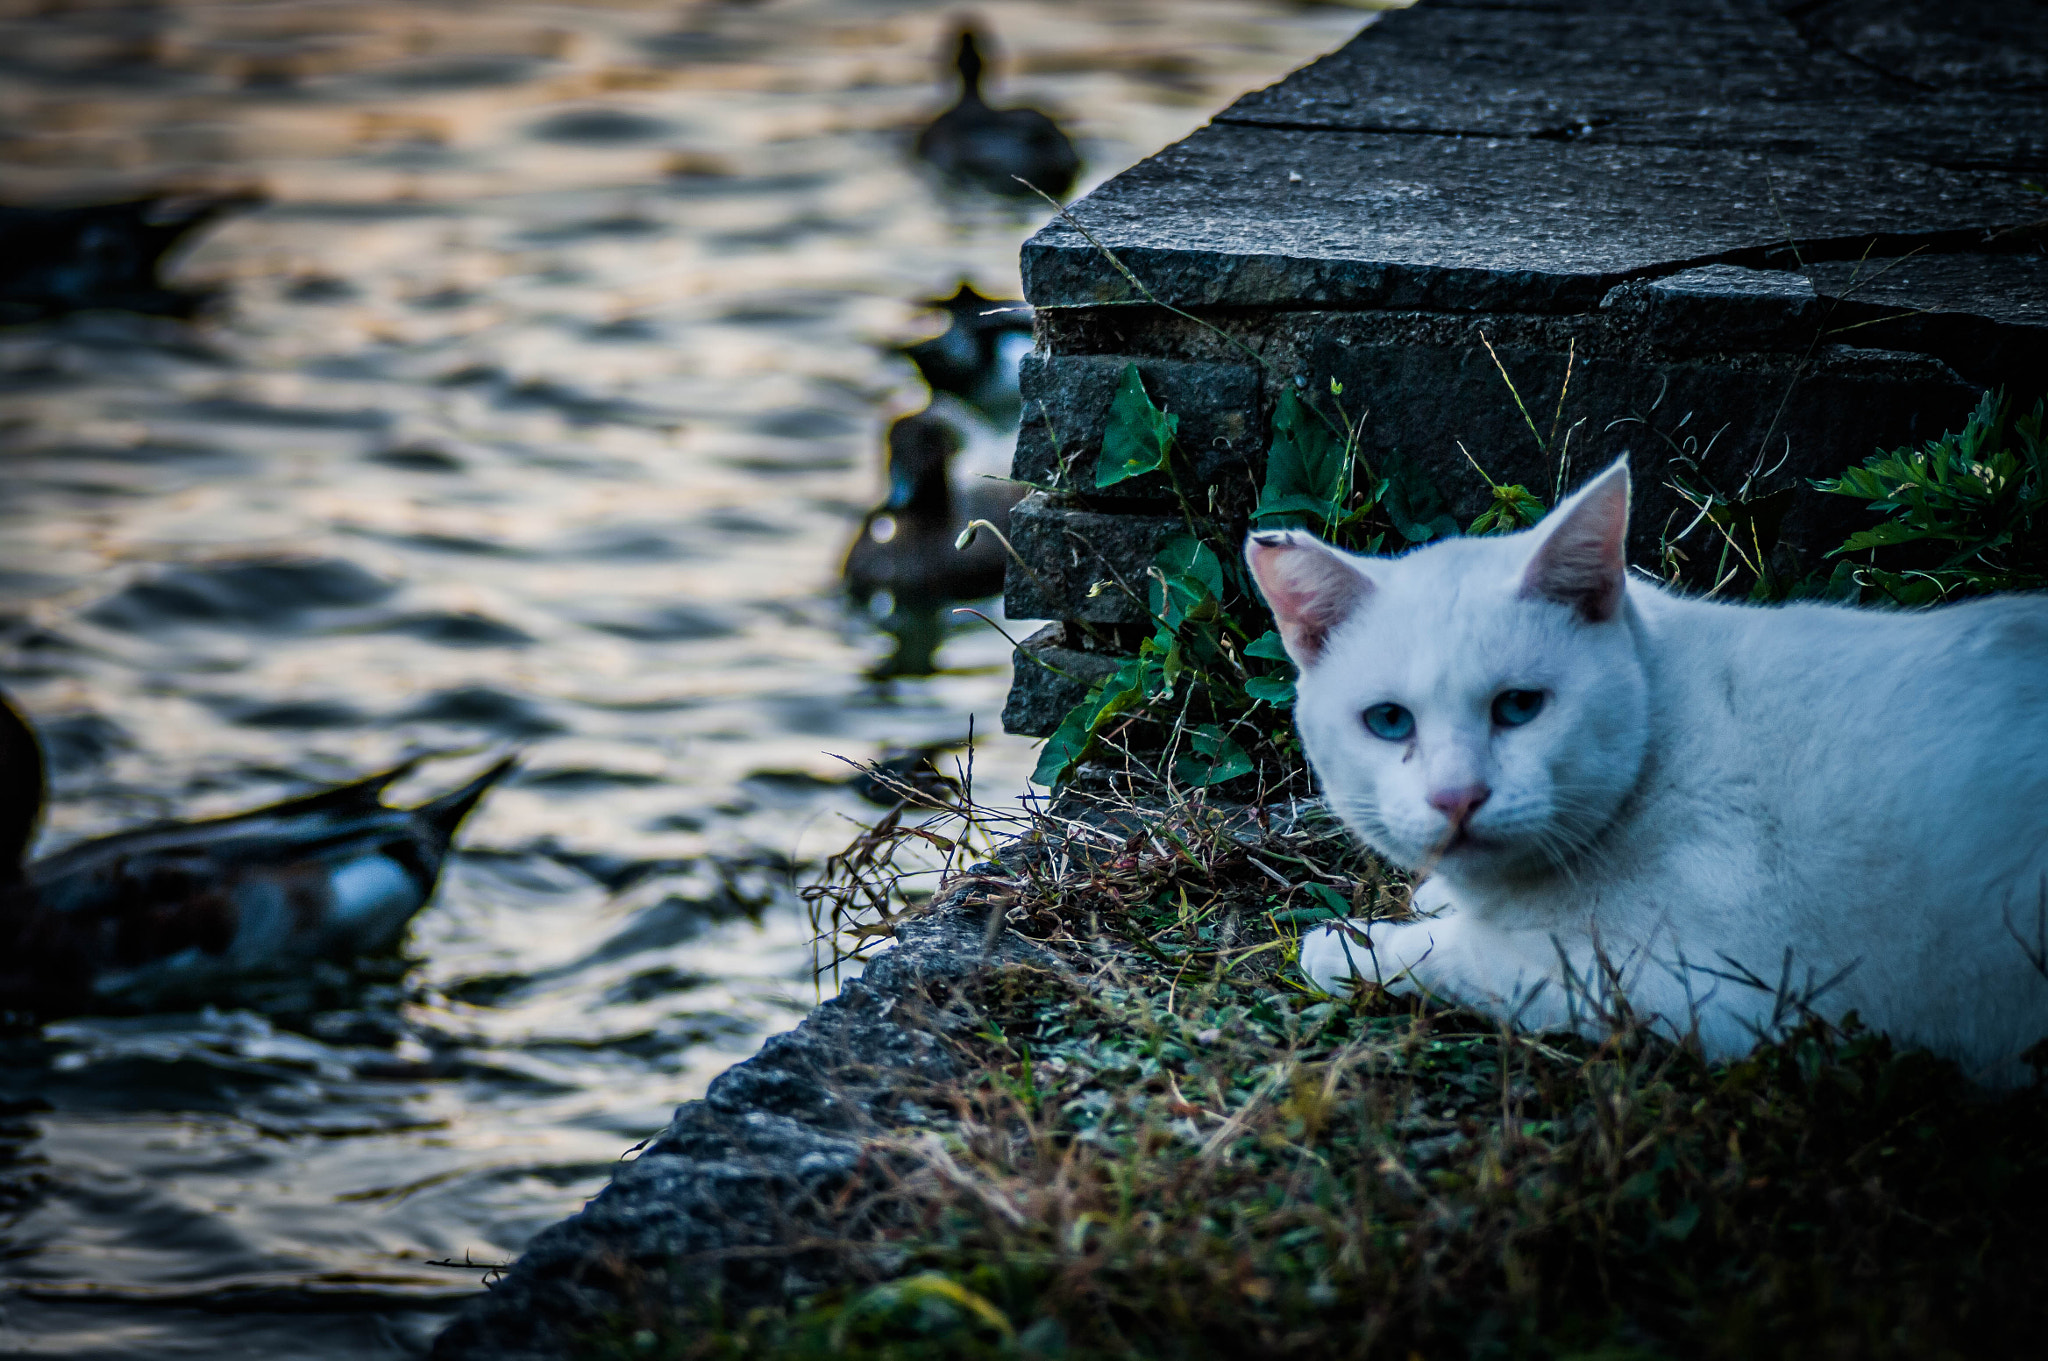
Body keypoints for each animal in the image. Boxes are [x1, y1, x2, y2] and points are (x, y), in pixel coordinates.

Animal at [1236, 462, 2048, 1088]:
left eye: (1520, 706)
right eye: (1389, 722)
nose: (1457, 796)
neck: (1659, 733)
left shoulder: (1720, 997)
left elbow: (1474, 957)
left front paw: (1355, 946)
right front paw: (1434, 896)